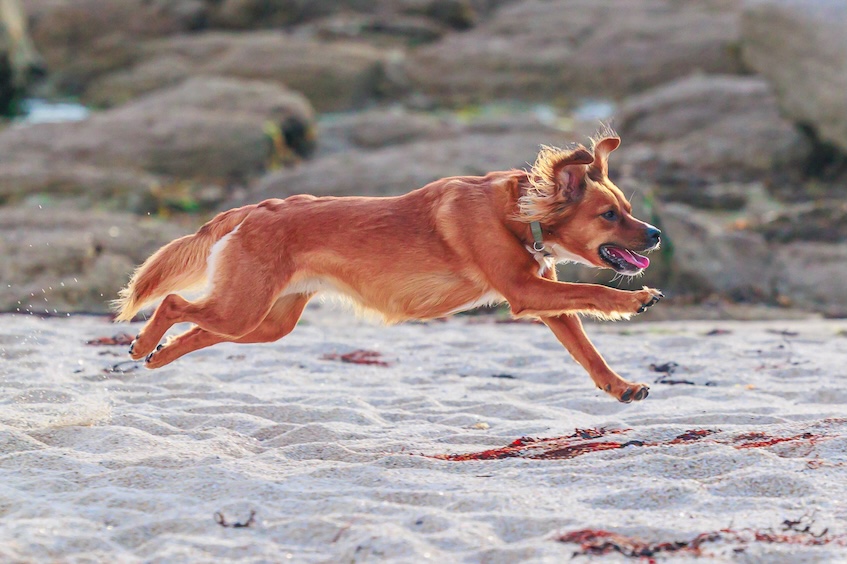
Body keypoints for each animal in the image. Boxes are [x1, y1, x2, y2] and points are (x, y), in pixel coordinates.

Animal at [116, 134, 664, 404]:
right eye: (609, 215)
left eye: (626, 208)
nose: (657, 235)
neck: (518, 213)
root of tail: (254, 209)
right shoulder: (525, 292)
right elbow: (597, 295)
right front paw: (635, 298)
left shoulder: (546, 299)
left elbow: (588, 352)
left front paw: (619, 385)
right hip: (245, 309)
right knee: (174, 303)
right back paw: (144, 345)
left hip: (263, 321)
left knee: (198, 329)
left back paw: (157, 357)